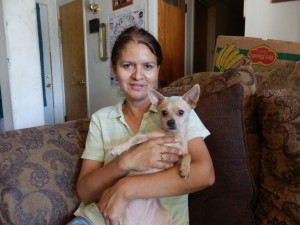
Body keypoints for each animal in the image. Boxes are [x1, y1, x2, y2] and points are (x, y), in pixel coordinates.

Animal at [109, 84, 200, 225]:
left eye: (181, 112)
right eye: (164, 113)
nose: (171, 122)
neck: (173, 136)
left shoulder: (177, 156)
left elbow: (187, 155)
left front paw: (185, 168)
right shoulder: (144, 137)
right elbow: (131, 139)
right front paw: (119, 148)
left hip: (165, 218)